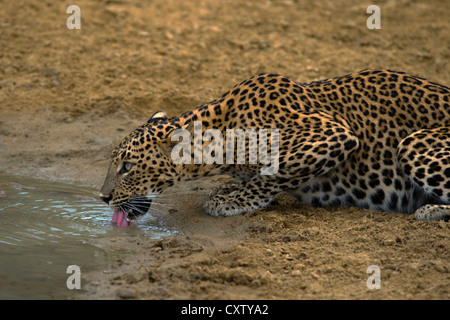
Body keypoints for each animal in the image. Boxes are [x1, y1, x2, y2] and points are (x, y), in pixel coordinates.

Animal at [100, 69, 450, 225]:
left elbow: (274, 172)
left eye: (128, 167)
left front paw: (232, 201)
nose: (102, 198)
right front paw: (227, 190)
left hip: (414, 143)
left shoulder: (330, 133)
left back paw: (430, 210)